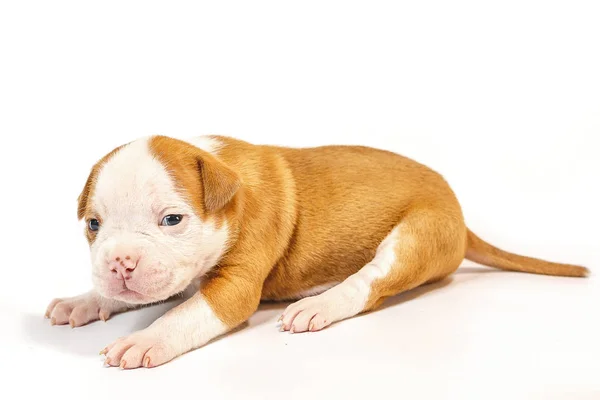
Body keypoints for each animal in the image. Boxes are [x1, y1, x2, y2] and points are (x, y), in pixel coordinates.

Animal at [44, 135, 588, 368]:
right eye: (93, 225)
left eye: (172, 220)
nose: (121, 262)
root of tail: (461, 219)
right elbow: (135, 295)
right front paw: (84, 300)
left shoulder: (234, 286)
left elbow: (184, 314)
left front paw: (145, 339)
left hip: (416, 235)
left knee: (368, 284)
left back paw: (318, 307)